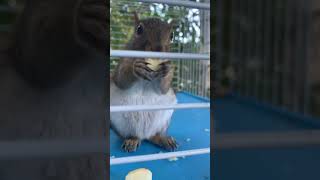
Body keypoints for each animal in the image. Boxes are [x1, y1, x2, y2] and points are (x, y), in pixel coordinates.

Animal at [111, 11, 179, 152]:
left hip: (164, 118)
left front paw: (167, 69)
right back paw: (132, 139)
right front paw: (136, 68)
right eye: (139, 29)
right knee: (132, 135)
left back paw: (163, 139)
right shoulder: (122, 62)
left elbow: (163, 89)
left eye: (172, 35)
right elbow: (121, 79)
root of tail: (144, 135)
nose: (158, 49)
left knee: (154, 135)